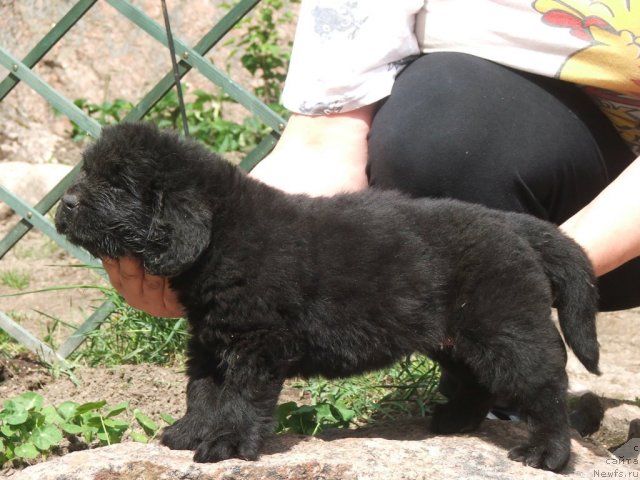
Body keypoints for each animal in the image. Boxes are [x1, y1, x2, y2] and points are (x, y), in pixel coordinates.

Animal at [55, 123, 600, 472]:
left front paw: (226, 443)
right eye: (89, 172)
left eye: (118, 184)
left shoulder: (257, 342)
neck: (222, 237)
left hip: (506, 331)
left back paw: (547, 455)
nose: (65, 202)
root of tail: (513, 225)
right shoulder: (209, 340)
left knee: (547, 389)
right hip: (454, 337)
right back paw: (453, 421)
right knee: (474, 382)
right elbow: (203, 390)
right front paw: (189, 433)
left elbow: (240, 398)